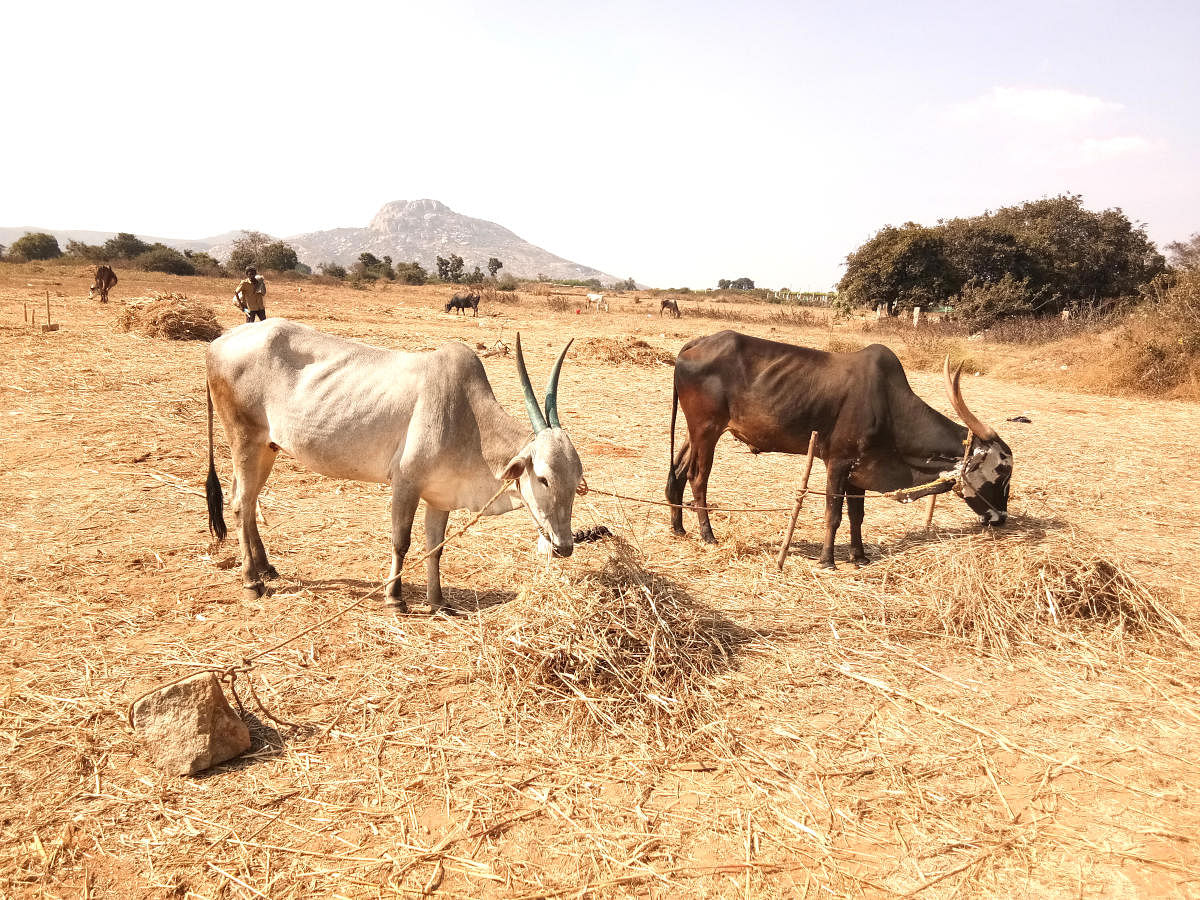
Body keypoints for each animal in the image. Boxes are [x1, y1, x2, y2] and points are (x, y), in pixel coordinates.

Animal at [208, 321, 583, 609]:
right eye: (543, 478)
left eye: (576, 479)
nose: (564, 546)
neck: (468, 417)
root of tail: (218, 342)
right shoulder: (406, 484)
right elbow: (401, 541)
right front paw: (395, 597)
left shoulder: (440, 496)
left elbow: (435, 547)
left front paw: (438, 602)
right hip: (245, 441)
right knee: (240, 503)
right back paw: (251, 582)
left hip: (268, 448)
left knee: (249, 502)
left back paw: (266, 568)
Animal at [667, 331, 1012, 571]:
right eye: (1002, 472)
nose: (1001, 519)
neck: (887, 403)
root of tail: (697, 344)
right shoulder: (837, 462)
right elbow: (833, 514)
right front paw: (827, 560)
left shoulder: (860, 471)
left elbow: (857, 516)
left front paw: (859, 556)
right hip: (707, 431)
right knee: (698, 479)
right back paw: (707, 535)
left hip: (694, 432)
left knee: (678, 473)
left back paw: (678, 527)